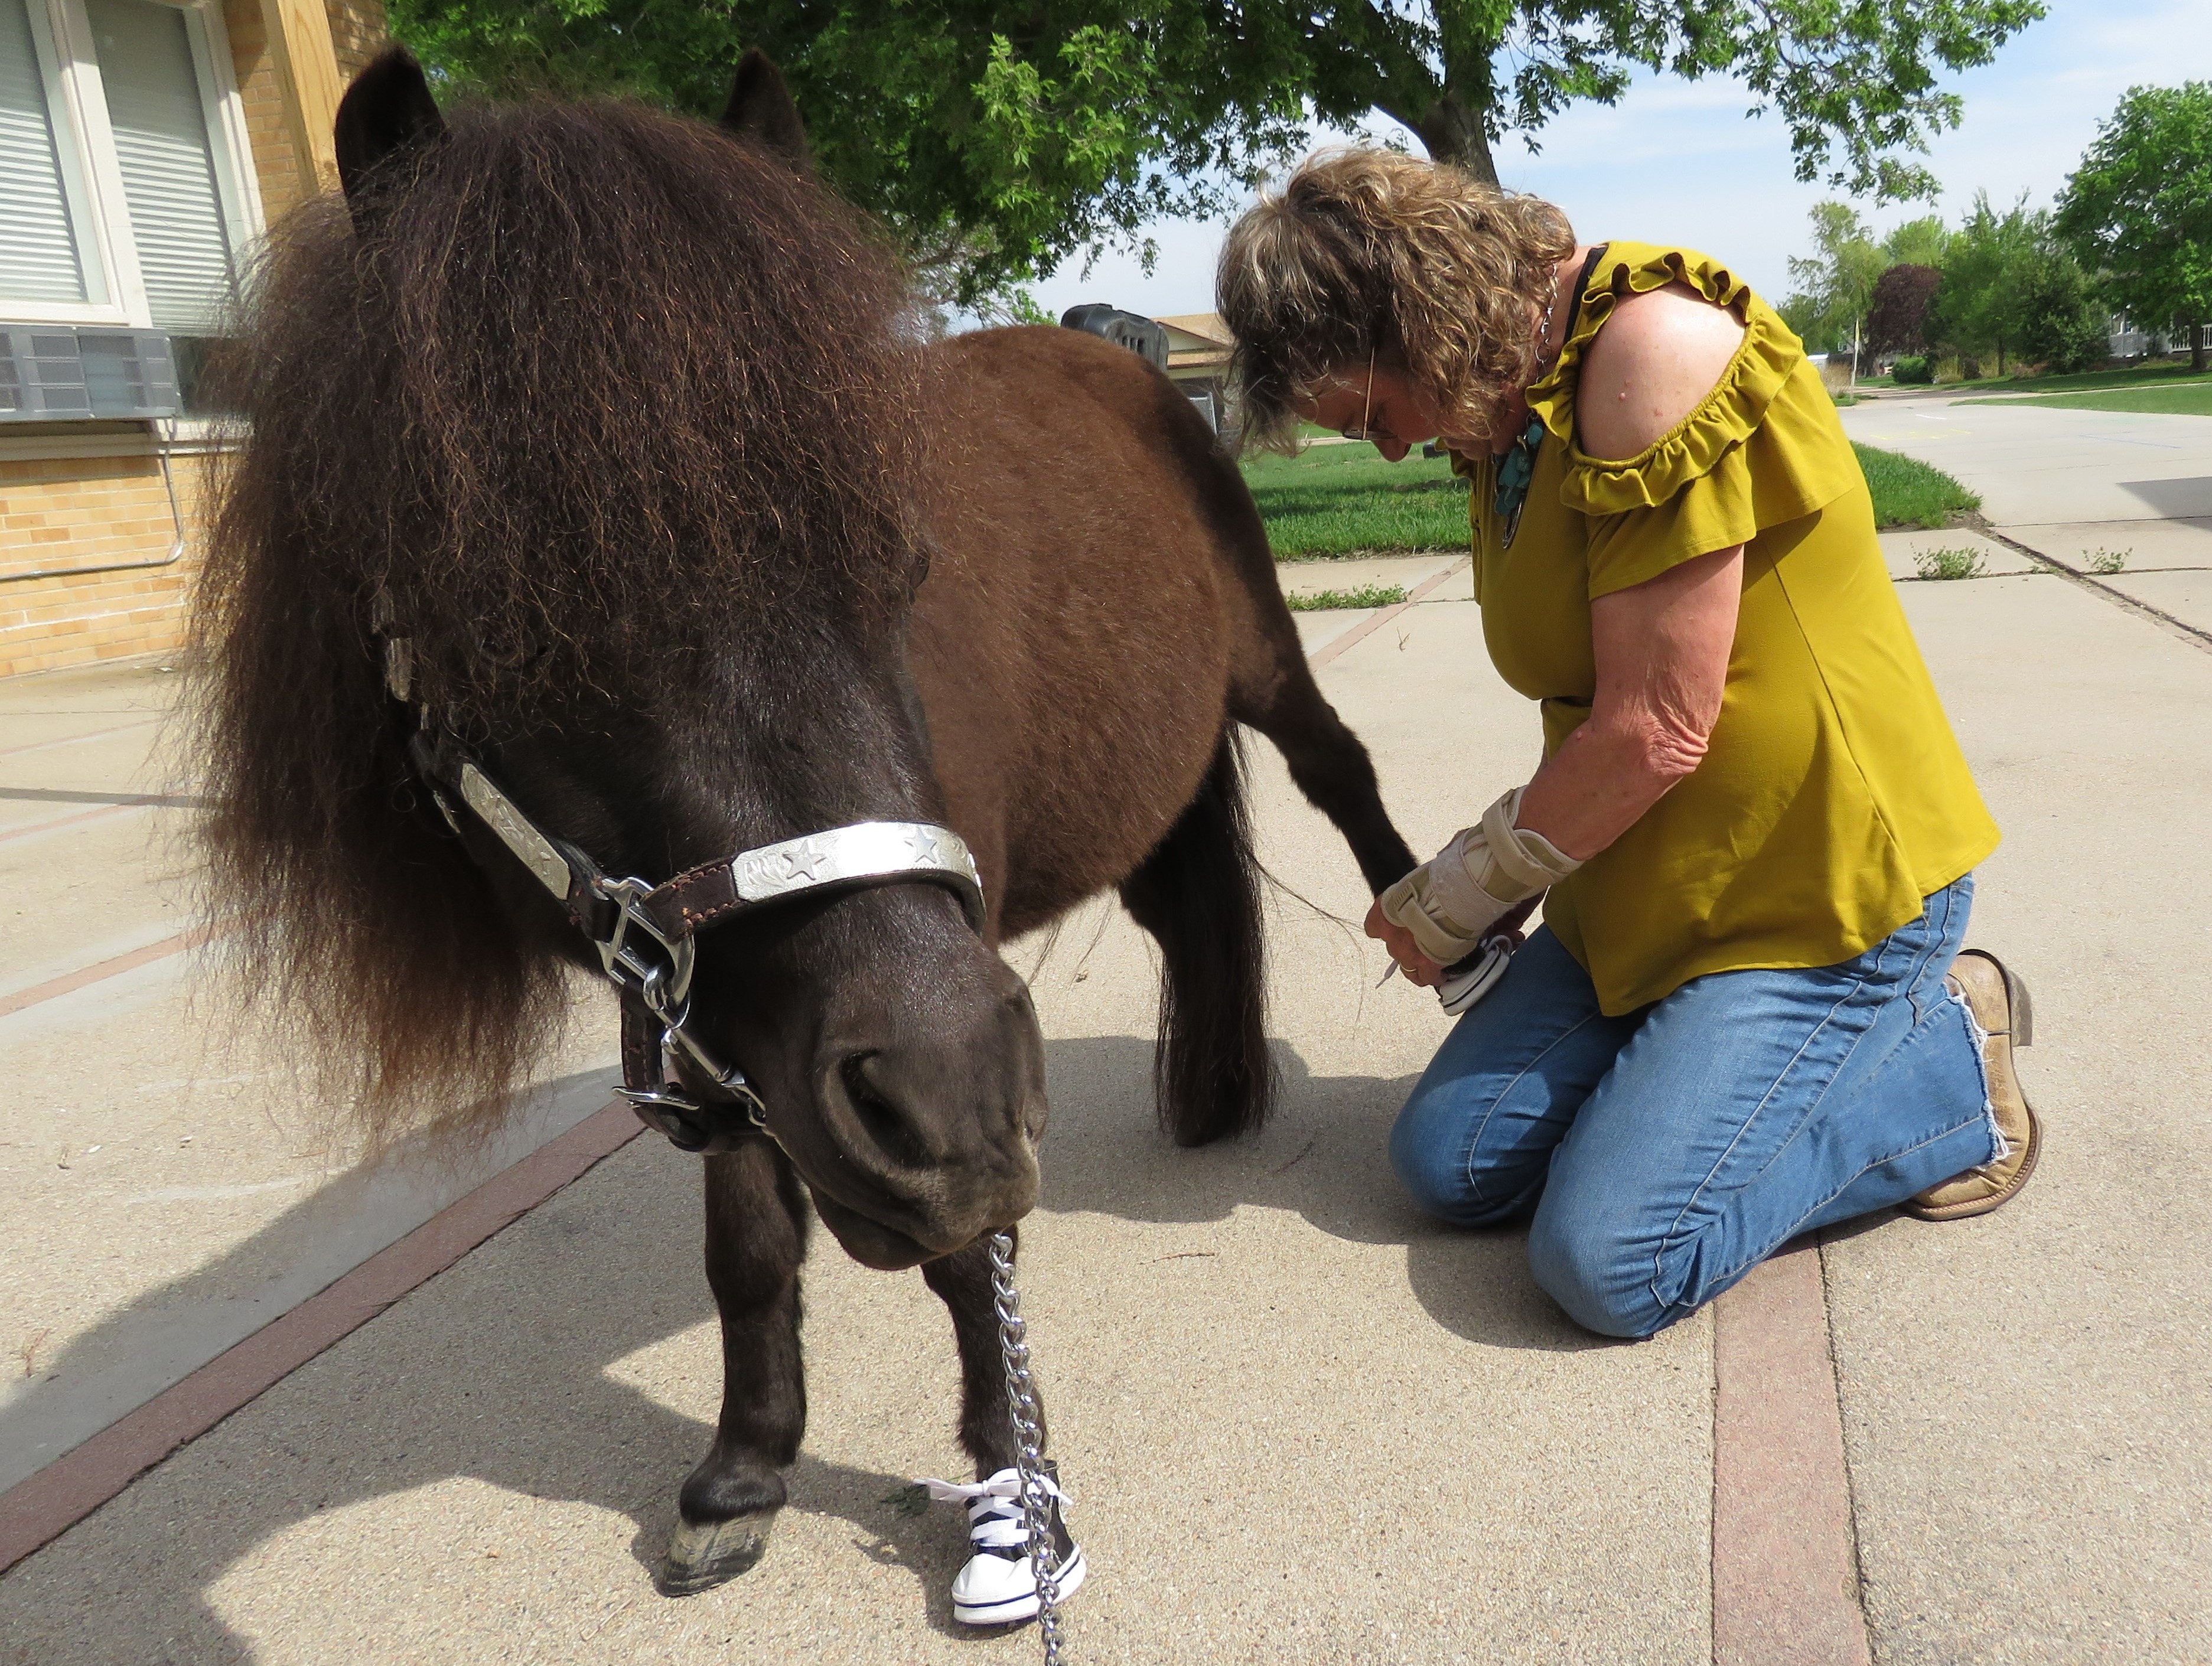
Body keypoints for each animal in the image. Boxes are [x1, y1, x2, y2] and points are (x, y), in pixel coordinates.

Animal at [196, 44, 1417, 1607]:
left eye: (900, 563)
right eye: (515, 619)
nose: (951, 1100)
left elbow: (972, 1255)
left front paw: (1010, 1478)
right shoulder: (712, 1006)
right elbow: (750, 1243)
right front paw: (745, 1465)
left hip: (1264, 665)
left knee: (1344, 779)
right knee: (1186, 912)